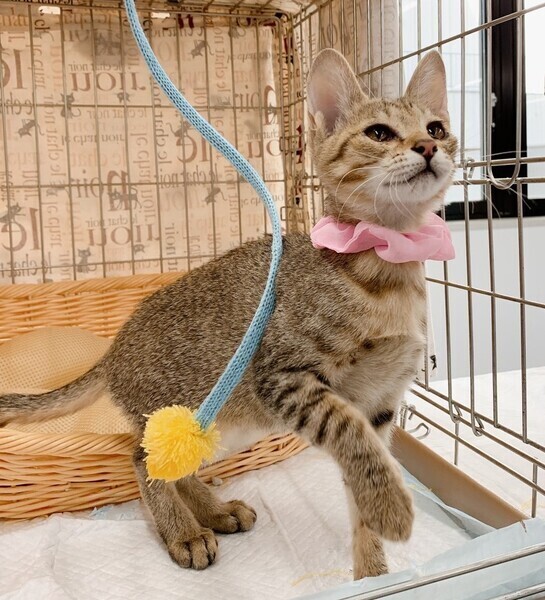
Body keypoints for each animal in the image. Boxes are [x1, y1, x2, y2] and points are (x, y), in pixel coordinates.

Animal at [0, 49, 457, 579]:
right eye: (379, 133)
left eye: (437, 127)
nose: (429, 146)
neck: (386, 268)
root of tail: (114, 349)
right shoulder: (283, 377)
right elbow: (352, 436)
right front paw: (393, 508)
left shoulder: (380, 403)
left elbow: (361, 475)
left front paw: (373, 570)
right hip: (202, 408)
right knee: (140, 458)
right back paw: (184, 532)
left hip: (230, 425)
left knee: (174, 465)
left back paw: (215, 512)